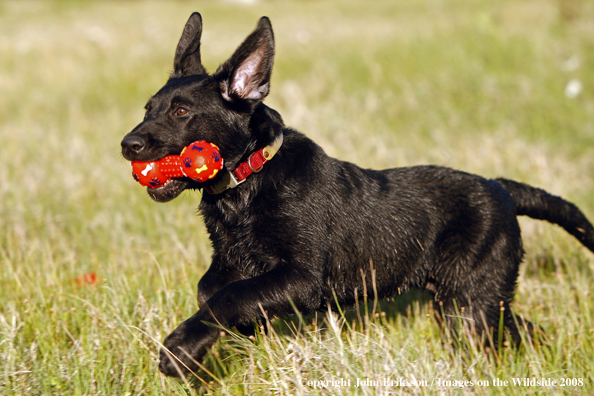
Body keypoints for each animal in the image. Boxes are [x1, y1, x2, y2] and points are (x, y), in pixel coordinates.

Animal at [119, 13, 592, 378]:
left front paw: (180, 350)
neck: (249, 182)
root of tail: (500, 188)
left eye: (182, 112)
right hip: (469, 299)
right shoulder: (232, 259)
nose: (127, 145)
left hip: (470, 300)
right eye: (147, 109)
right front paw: (234, 337)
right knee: (519, 327)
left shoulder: (302, 277)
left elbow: (229, 297)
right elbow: (211, 291)